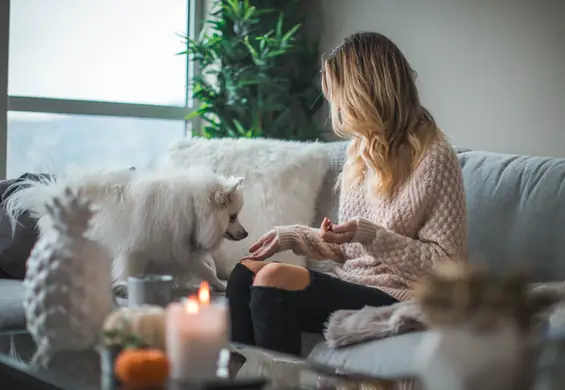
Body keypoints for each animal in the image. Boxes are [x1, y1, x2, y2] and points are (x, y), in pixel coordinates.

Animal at [4, 165, 247, 292]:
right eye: (233, 217)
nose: (245, 234)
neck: (193, 208)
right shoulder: (139, 249)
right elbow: (131, 270)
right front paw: (125, 287)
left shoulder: (179, 249)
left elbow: (205, 269)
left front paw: (219, 285)